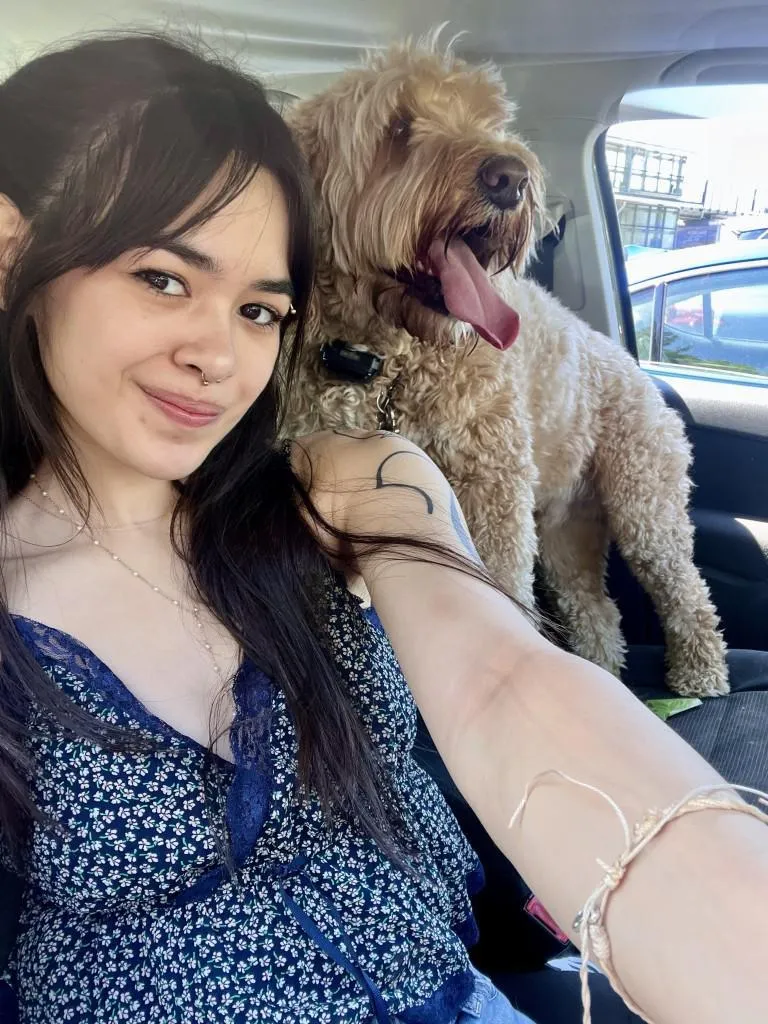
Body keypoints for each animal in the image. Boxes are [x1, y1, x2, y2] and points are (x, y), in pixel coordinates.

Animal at [284, 34, 728, 697]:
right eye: (397, 127)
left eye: (488, 119)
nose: (510, 176)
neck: (390, 360)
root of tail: (636, 368)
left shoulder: (490, 482)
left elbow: (500, 586)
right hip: (570, 527)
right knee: (596, 609)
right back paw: (604, 671)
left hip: (645, 504)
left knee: (685, 590)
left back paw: (701, 675)